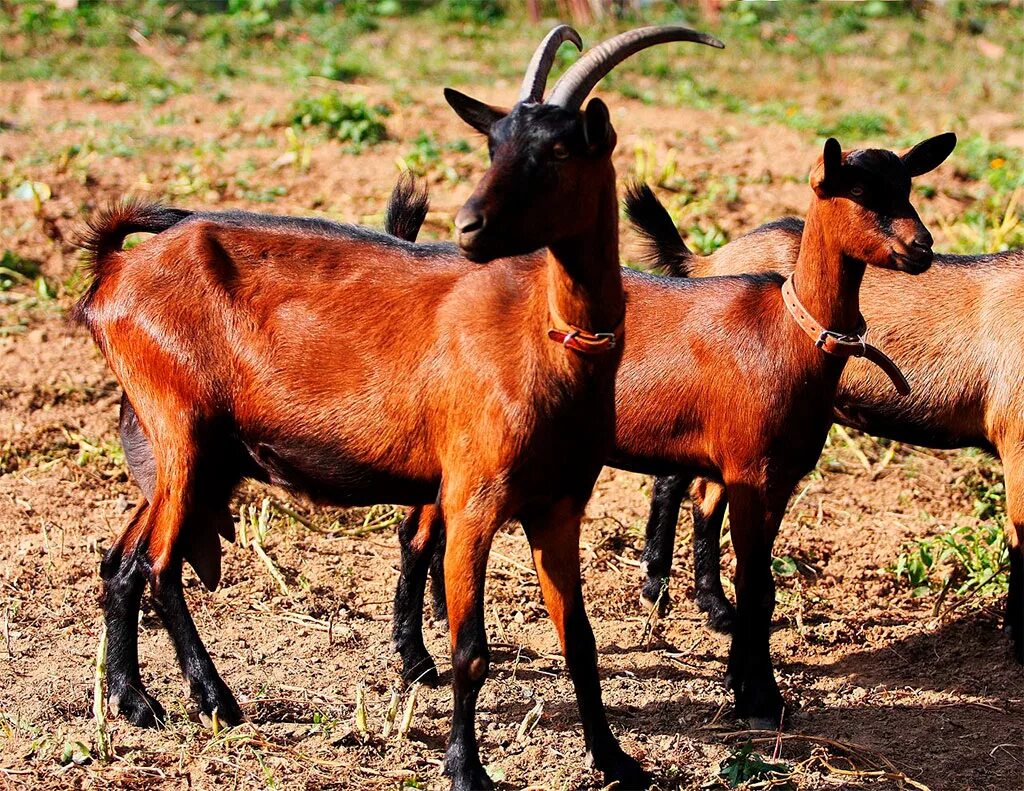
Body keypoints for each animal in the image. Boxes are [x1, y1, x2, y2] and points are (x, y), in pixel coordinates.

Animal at [74, 24, 720, 790]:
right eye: (494, 143)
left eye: (560, 149)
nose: (470, 225)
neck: (546, 337)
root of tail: (115, 270)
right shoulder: (472, 496)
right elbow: (472, 648)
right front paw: (466, 769)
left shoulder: (559, 503)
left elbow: (580, 640)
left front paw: (616, 760)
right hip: (182, 432)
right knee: (155, 566)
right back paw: (192, 699)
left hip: (192, 453)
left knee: (124, 562)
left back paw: (142, 698)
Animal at [393, 131, 958, 729]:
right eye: (858, 191)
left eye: (907, 186)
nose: (921, 246)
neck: (790, 333)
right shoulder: (750, 471)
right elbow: (755, 585)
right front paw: (759, 698)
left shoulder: (777, 477)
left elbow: (760, 585)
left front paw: (743, 681)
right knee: (417, 536)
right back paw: (415, 661)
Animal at [622, 182, 1024, 663]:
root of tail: (711, 261)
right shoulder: (1017, 440)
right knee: (675, 482)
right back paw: (658, 591)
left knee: (704, 495)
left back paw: (713, 609)